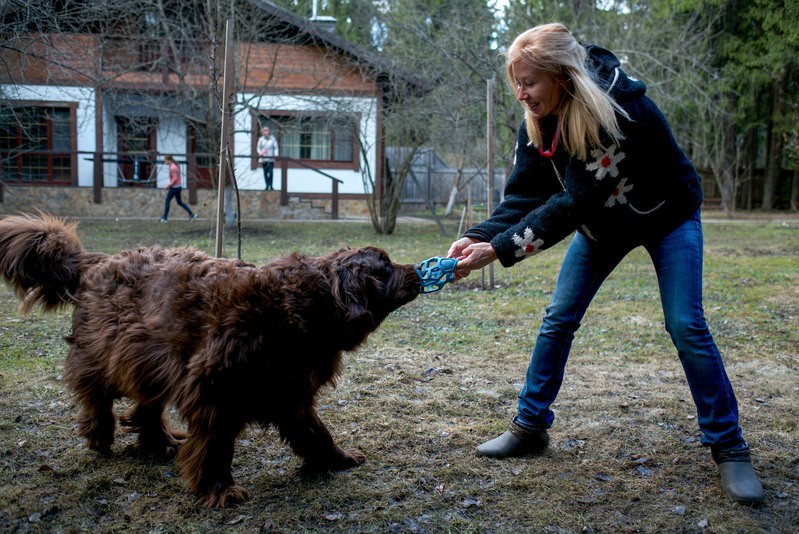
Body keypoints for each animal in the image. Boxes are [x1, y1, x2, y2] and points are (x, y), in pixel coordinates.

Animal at [0, 213, 422, 506]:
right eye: (385, 267)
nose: (418, 270)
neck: (307, 306)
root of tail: (95, 261)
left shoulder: (290, 390)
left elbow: (315, 431)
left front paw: (335, 458)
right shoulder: (215, 388)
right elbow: (216, 444)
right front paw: (218, 489)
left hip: (155, 359)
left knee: (147, 406)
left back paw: (160, 440)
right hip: (107, 351)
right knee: (96, 396)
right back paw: (100, 435)